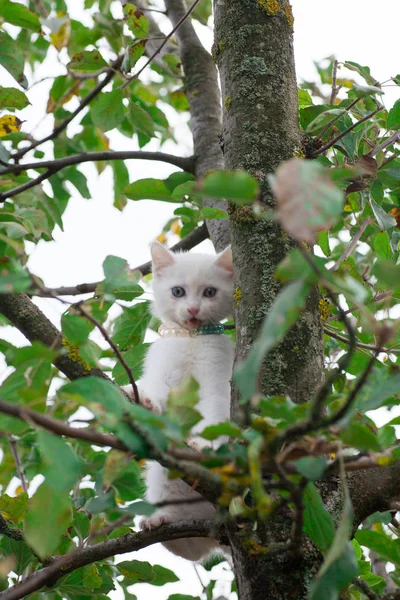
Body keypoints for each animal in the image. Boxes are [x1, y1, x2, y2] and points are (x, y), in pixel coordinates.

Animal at [136, 241, 233, 560]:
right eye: (178, 291)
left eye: (210, 292)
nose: (192, 309)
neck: (190, 336)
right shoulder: (162, 370)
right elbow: (157, 392)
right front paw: (144, 400)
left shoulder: (216, 381)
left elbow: (213, 411)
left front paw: (204, 444)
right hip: (161, 481)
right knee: (184, 548)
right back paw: (160, 520)